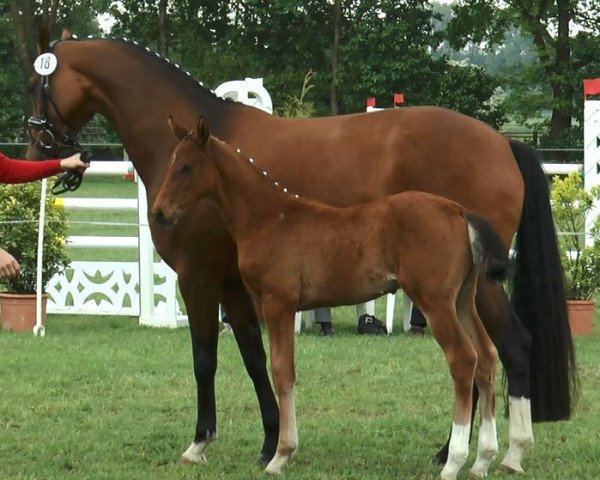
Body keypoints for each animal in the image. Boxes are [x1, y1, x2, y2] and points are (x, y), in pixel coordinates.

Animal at [152, 117, 508, 480]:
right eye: (171, 163)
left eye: (187, 167)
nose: (160, 212)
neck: (268, 218)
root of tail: (458, 211)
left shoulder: (278, 302)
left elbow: (282, 370)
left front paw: (281, 454)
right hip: (462, 300)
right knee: (486, 356)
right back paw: (483, 459)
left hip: (435, 302)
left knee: (463, 359)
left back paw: (453, 461)